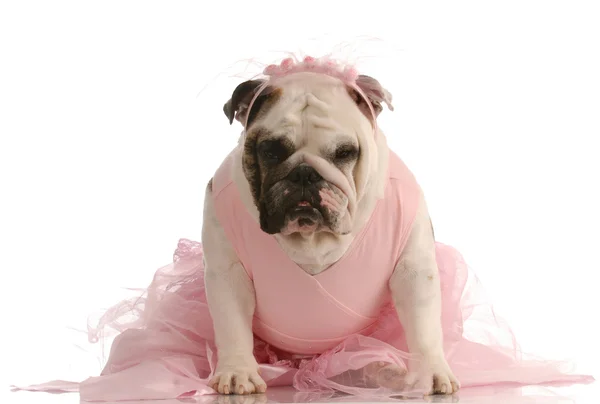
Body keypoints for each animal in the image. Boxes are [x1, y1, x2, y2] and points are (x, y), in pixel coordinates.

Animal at [199, 68, 458, 396]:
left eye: (345, 153)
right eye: (270, 151)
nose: (304, 173)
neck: (312, 237)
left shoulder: (414, 271)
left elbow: (424, 326)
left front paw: (430, 372)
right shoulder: (227, 273)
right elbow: (232, 325)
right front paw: (237, 372)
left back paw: (384, 370)